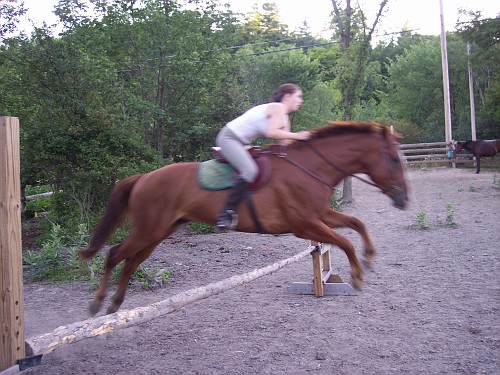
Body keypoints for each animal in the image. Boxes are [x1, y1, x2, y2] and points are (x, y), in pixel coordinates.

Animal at [80, 122, 410, 316]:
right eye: (394, 159)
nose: (405, 199)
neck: (310, 167)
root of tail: (143, 177)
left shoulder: (320, 216)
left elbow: (356, 223)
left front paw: (369, 258)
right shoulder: (305, 224)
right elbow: (345, 241)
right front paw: (357, 276)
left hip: (159, 232)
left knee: (132, 262)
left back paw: (115, 304)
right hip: (149, 230)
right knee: (114, 255)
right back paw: (97, 303)